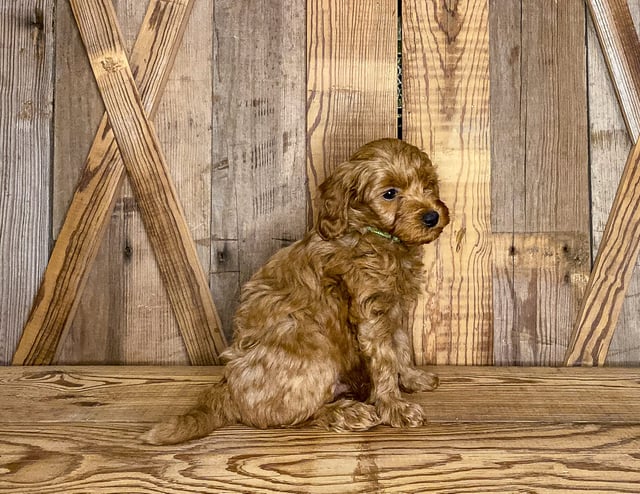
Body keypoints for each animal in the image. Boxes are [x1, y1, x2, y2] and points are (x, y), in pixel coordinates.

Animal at [142, 138, 450, 444]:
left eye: (428, 185)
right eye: (389, 193)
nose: (432, 216)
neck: (374, 234)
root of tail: (228, 389)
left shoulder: (393, 308)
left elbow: (401, 346)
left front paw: (412, 378)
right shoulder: (370, 312)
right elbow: (385, 360)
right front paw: (394, 407)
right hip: (314, 351)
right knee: (289, 415)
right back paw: (347, 413)